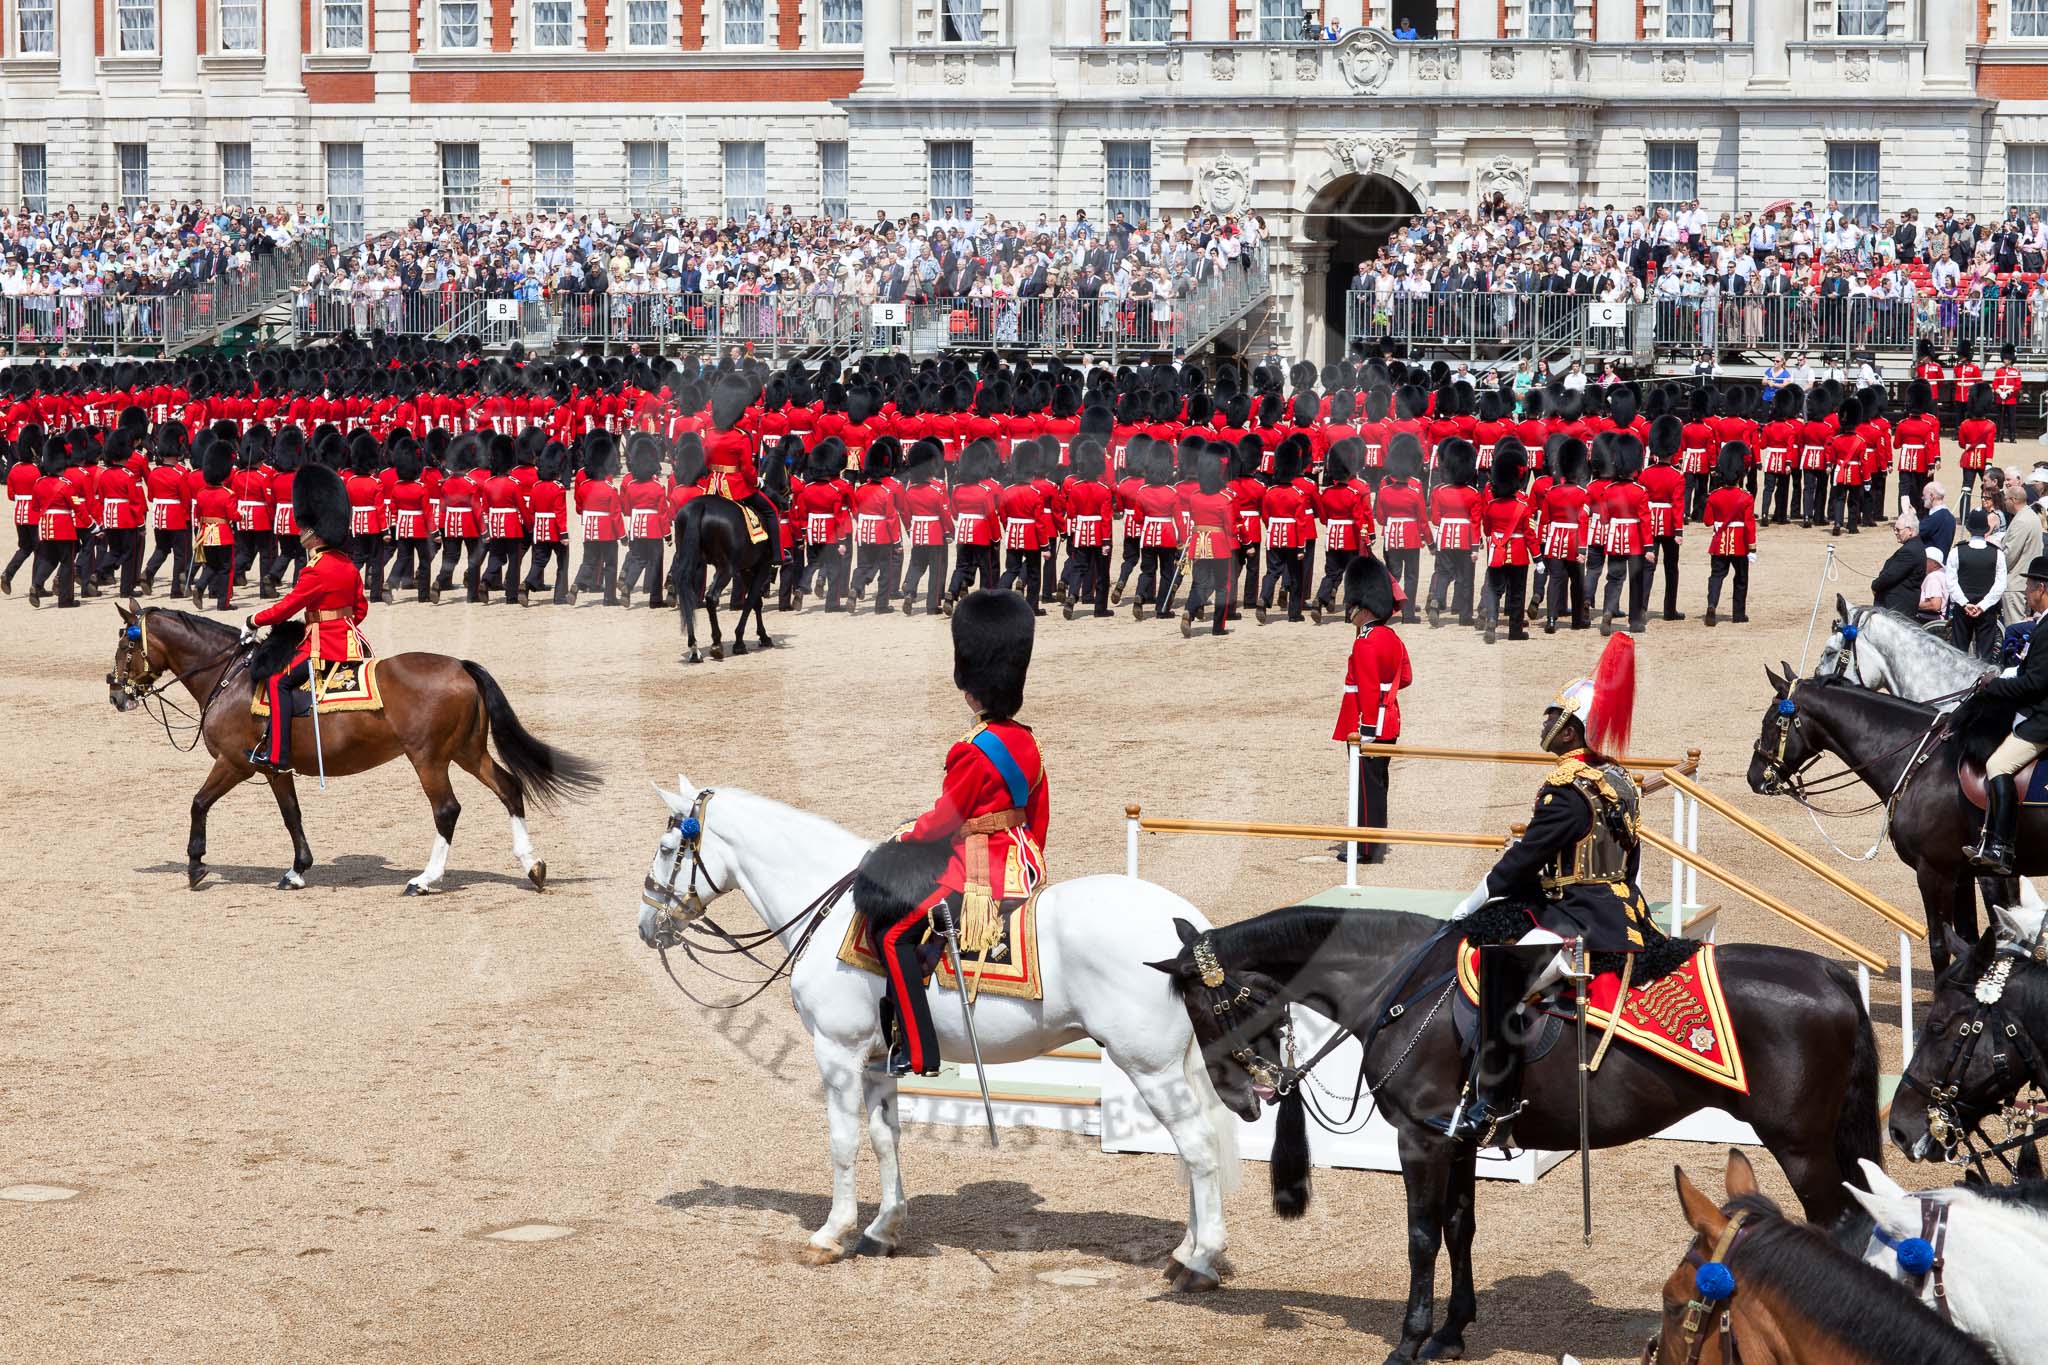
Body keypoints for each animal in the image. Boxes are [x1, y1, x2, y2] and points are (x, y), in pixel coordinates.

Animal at [107, 601, 599, 893]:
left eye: (125, 648)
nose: (116, 694)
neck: (231, 677)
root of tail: (460, 665)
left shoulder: (235, 764)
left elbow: (198, 803)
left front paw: (195, 865)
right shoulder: (274, 768)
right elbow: (292, 816)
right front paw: (297, 869)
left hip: (429, 758)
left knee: (447, 810)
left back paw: (425, 879)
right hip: (467, 753)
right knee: (509, 788)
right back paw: (532, 867)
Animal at [635, 776, 1242, 1289]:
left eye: (666, 848)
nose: (646, 926)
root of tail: (1184, 924)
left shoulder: (837, 1053)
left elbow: (842, 1142)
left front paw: (831, 1234)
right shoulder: (878, 1060)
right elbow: (885, 1137)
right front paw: (882, 1230)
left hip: (1148, 1066)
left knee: (1197, 1148)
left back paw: (1200, 1263)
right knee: (1194, 1151)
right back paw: (1184, 1253)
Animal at [1149, 905, 1880, 1363]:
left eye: (1207, 1010)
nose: (1242, 1099)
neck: (1398, 983)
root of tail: (1829, 972)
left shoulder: (1421, 1140)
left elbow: (1421, 1238)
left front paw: (1409, 1341)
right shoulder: (1457, 1137)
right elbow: (1459, 1228)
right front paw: (1451, 1332)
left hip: (1801, 1148)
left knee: (1840, 1232)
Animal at [1746, 669, 2042, 974]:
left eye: (1769, 722)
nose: (1753, 776)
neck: (1924, 763)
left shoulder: (1934, 872)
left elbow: (1941, 945)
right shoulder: (1961, 874)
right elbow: (1969, 942)